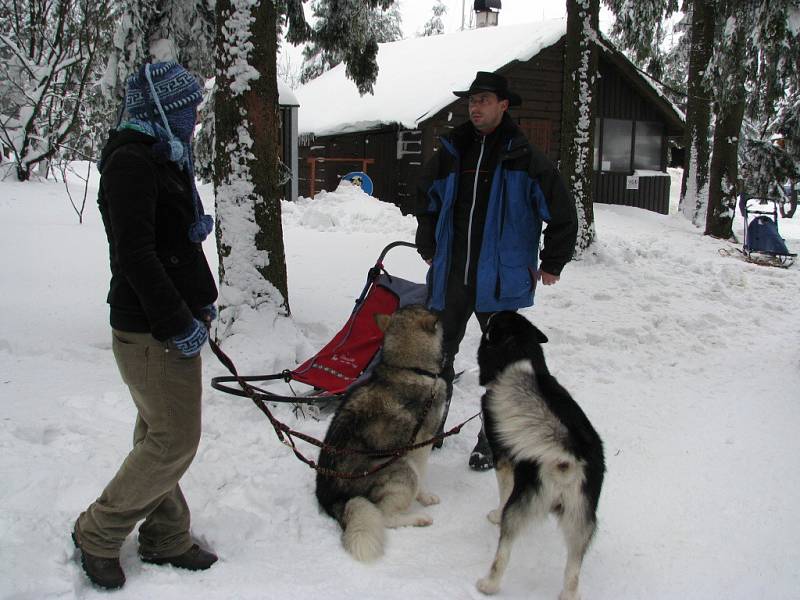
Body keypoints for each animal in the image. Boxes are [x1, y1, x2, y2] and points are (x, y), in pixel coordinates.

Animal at [314, 304, 450, 564]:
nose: (439, 306)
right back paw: (418, 519)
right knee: (385, 516)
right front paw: (426, 497)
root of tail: (332, 499)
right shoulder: (421, 443)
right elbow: (423, 476)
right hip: (402, 467)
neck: (408, 368)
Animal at [476, 312, 600, 596]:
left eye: (491, 327)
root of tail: (569, 457)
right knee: (572, 572)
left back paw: (488, 585)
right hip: (582, 523)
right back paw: (568, 595)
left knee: (503, 554)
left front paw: (494, 514)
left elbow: (503, 492)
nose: (487, 315)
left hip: (520, 508)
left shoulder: (503, 461)